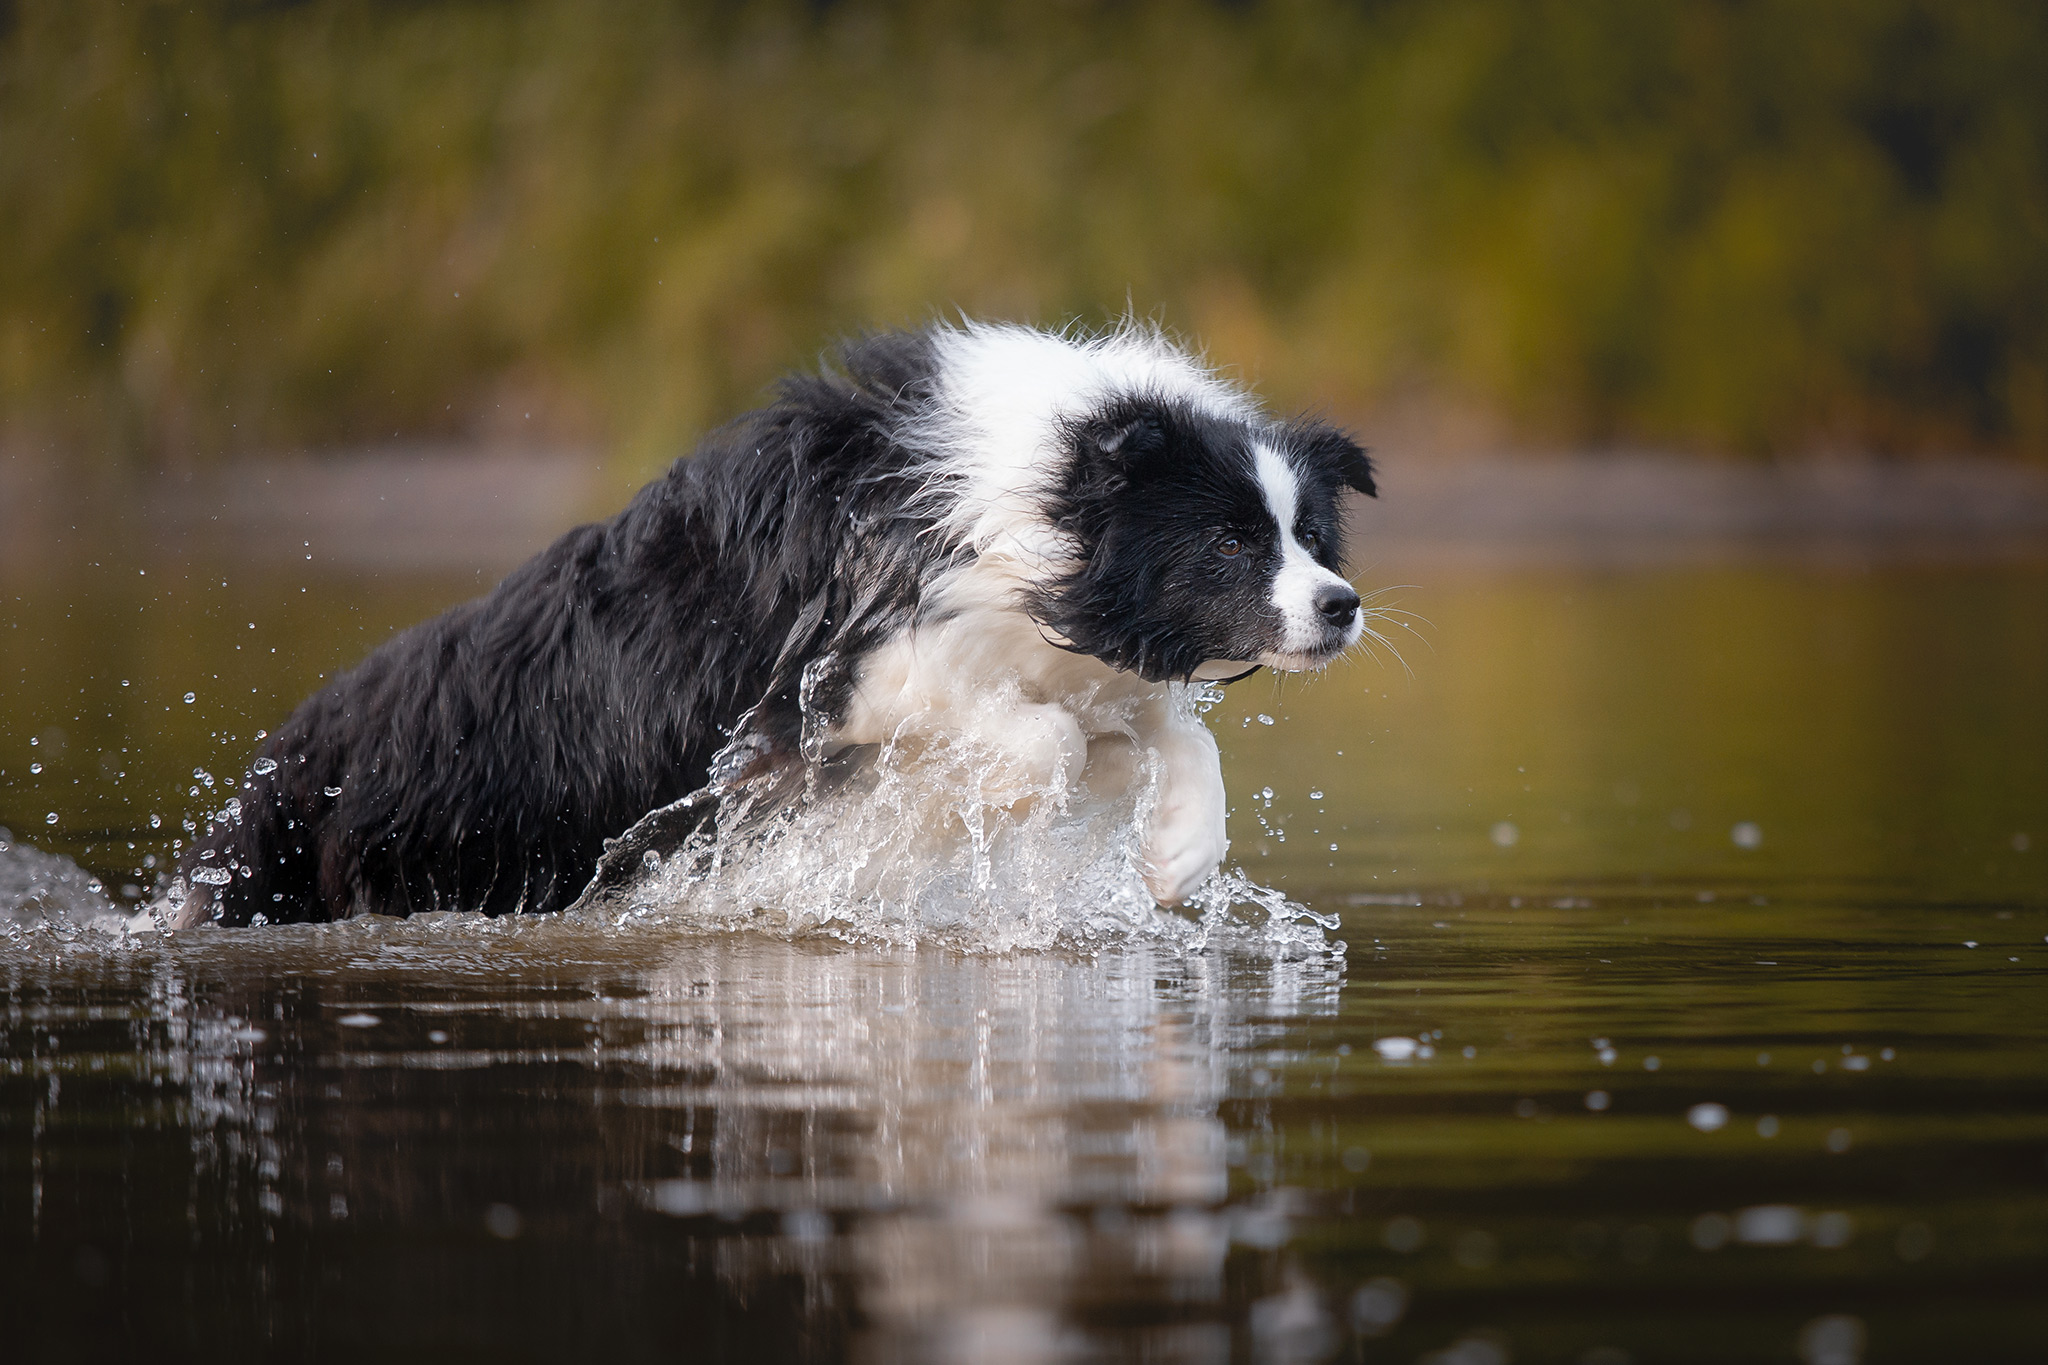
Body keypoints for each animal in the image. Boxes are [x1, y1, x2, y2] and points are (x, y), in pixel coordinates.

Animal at [163, 321, 1376, 929]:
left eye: (1311, 535)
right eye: (1228, 543)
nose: (1340, 607)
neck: (1042, 493)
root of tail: (287, 763)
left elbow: (1170, 735)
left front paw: (1174, 859)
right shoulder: (839, 671)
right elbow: (1041, 739)